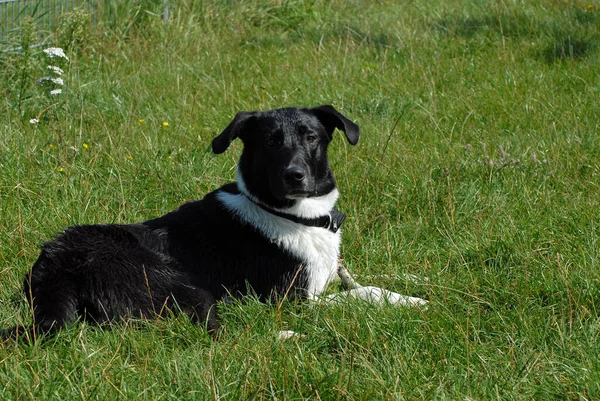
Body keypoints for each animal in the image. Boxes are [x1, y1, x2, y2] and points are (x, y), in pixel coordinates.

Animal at [0, 104, 368, 340]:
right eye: (270, 142)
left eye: (311, 138)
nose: (295, 175)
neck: (295, 216)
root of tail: (57, 264)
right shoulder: (290, 297)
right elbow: (351, 298)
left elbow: (358, 287)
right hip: (183, 288)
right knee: (217, 335)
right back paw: (286, 337)